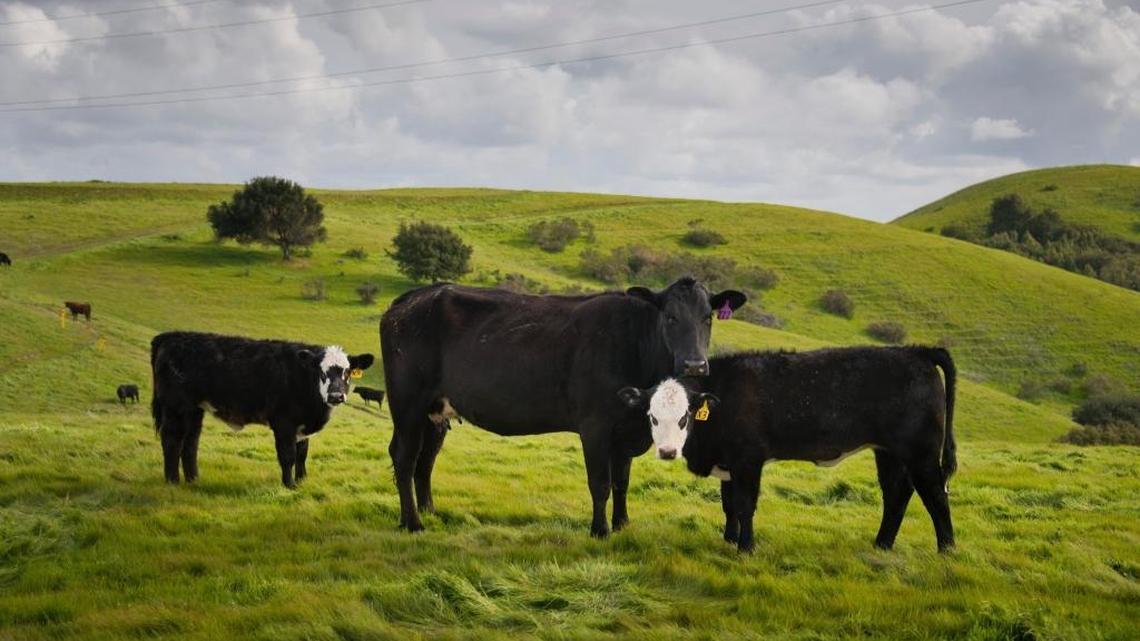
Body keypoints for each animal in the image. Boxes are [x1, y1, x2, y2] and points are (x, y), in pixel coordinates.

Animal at [150, 331, 375, 488]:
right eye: (321, 371)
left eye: (348, 372)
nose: (336, 396)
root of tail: (168, 336)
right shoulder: (284, 423)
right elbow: (288, 455)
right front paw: (289, 485)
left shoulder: (302, 425)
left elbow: (302, 454)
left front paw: (302, 481)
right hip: (175, 406)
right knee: (172, 440)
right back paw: (172, 481)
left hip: (194, 409)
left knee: (190, 442)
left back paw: (193, 480)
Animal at [380, 277, 746, 537]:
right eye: (669, 317)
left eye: (708, 317)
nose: (695, 365)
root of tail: (412, 298)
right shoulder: (595, 426)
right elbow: (600, 483)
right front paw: (600, 531)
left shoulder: (626, 428)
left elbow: (621, 481)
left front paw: (622, 524)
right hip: (408, 402)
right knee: (405, 457)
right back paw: (413, 523)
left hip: (434, 411)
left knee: (426, 459)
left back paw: (429, 512)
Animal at [618, 346, 957, 553]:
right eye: (652, 415)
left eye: (685, 416)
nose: (667, 452)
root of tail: (916, 351)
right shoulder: (729, 463)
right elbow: (729, 505)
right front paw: (729, 540)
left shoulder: (748, 460)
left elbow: (744, 505)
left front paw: (745, 548)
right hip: (889, 452)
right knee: (897, 494)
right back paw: (882, 545)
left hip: (921, 453)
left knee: (936, 496)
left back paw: (946, 551)